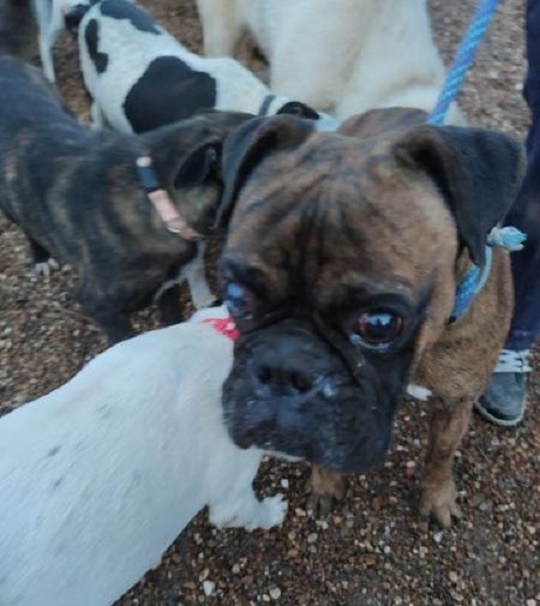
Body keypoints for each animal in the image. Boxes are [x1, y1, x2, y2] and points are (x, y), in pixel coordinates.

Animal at [214, 108, 524, 527]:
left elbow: (441, 455)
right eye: (235, 294)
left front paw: (437, 496)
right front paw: (326, 483)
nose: (283, 369)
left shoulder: (455, 404)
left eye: (379, 323)